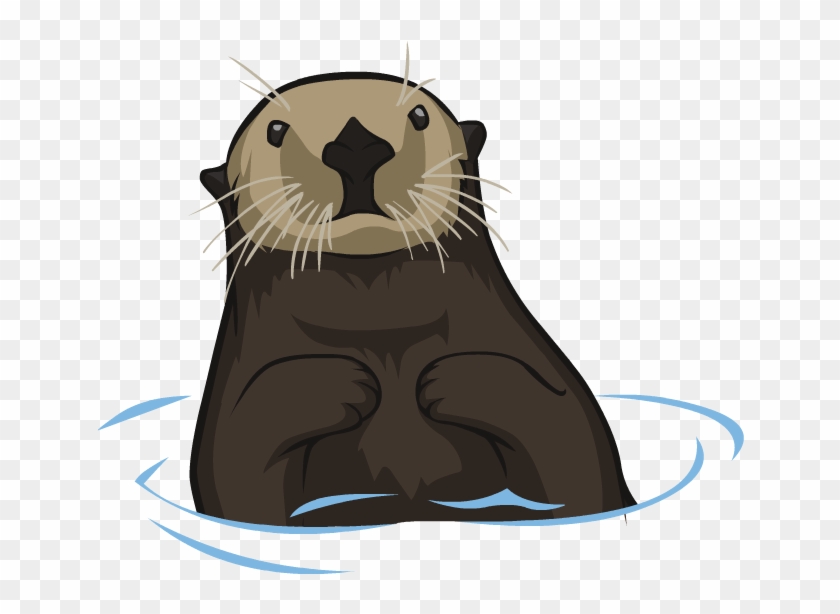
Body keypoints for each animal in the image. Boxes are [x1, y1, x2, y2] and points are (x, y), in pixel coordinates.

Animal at [189, 58, 636, 527]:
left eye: (420, 115)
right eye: (275, 129)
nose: (356, 146)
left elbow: (575, 462)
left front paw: (458, 379)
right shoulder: (234, 404)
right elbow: (241, 470)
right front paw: (334, 384)